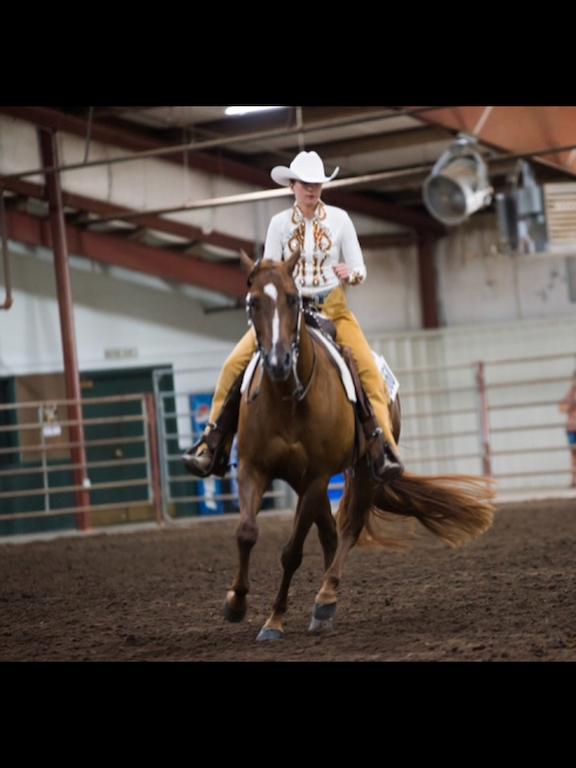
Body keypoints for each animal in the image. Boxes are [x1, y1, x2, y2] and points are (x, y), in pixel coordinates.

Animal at [225, 252, 496, 640]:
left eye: (292, 299)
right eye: (252, 302)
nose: (277, 362)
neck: (289, 400)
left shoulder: (318, 477)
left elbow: (292, 552)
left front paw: (274, 620)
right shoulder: (254, 468)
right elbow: (247, 533)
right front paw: (237, 603)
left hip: (364, 473)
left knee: (348, 530)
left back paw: (326, 598)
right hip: (306, 482)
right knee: (329, 534)